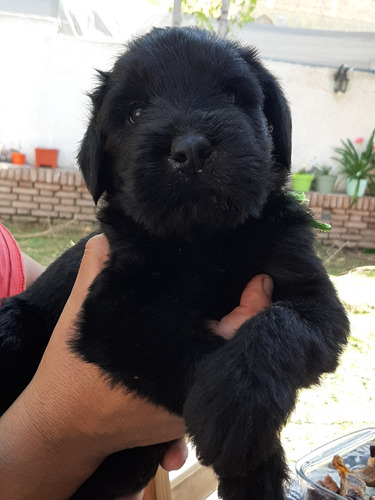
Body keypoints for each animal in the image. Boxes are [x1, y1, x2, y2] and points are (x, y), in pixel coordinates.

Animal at [0, 28, 350, 500]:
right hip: (12, 324)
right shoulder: (115, 312)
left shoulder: (316, 299)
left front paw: (241, 403)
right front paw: (237, 417)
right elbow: (193, 348)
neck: (204, 242)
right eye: (135, 112)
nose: (192, 149)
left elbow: (282, 324)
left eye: (233, 95)